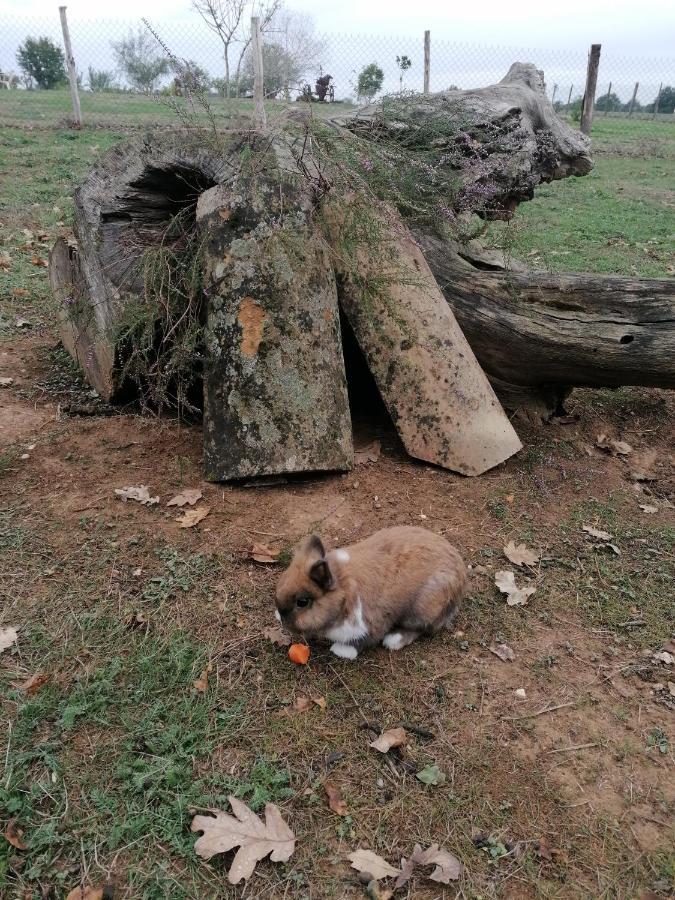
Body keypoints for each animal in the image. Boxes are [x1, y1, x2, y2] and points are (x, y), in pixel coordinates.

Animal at [272, 524, 468, 656]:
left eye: (302, 602)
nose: (281, 617)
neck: (343, 590)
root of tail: (461, 578)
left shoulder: (371, 623)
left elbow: (363, 640)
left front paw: (340, 650)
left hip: (422, 609)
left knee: (423, 628)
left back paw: (394, 640)